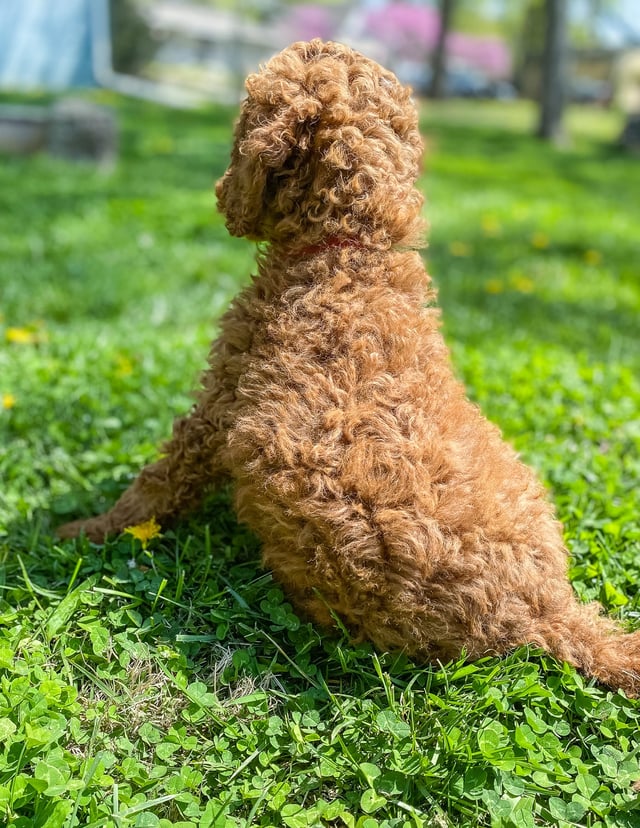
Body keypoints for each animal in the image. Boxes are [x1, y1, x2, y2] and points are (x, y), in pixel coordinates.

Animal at [56, 42, 640, 696]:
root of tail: (549, 614)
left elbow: (156, 484)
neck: (348, 251)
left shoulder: (218, 404)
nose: (221, 192)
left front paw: (83, 530)